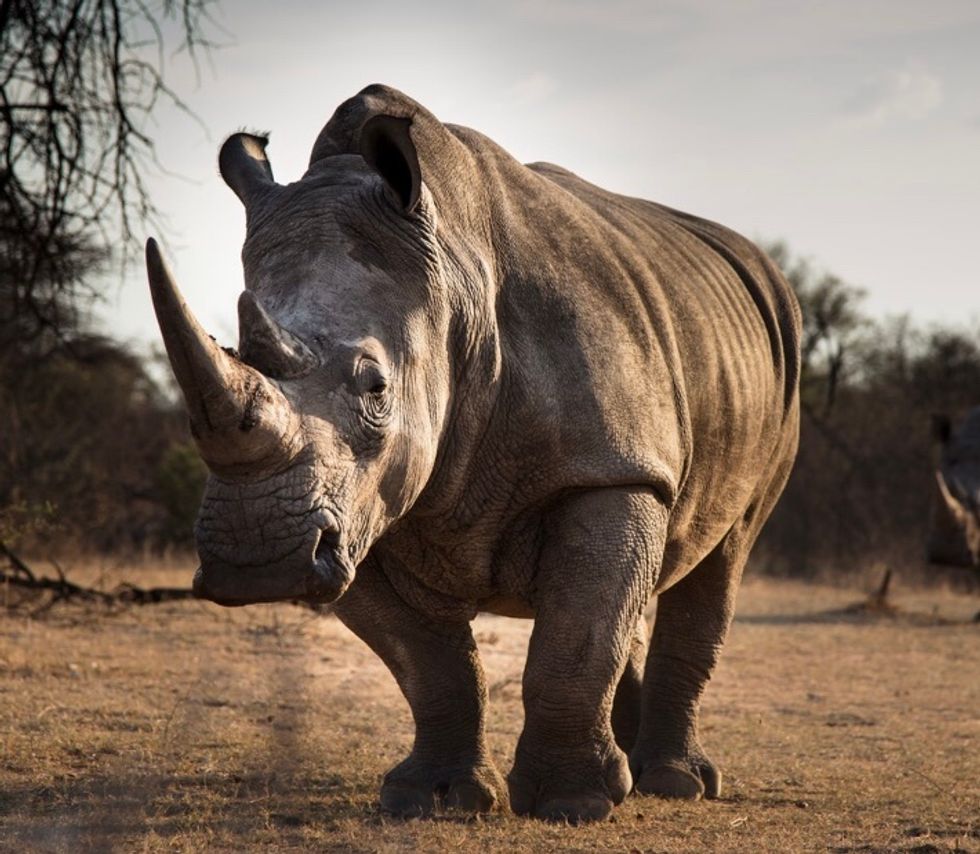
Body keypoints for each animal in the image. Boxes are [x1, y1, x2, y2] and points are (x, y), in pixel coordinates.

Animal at [146, 84, 801, 823]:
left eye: (375, 387)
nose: (256, 561)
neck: (456, 288)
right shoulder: (357, 512)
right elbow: (433, 664)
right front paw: (432, 798)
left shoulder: (610, 469)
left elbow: (575, 639)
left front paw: (571, 804)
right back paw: (637, 767)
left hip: (776, 368)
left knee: (724, 552)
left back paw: (673, 781)